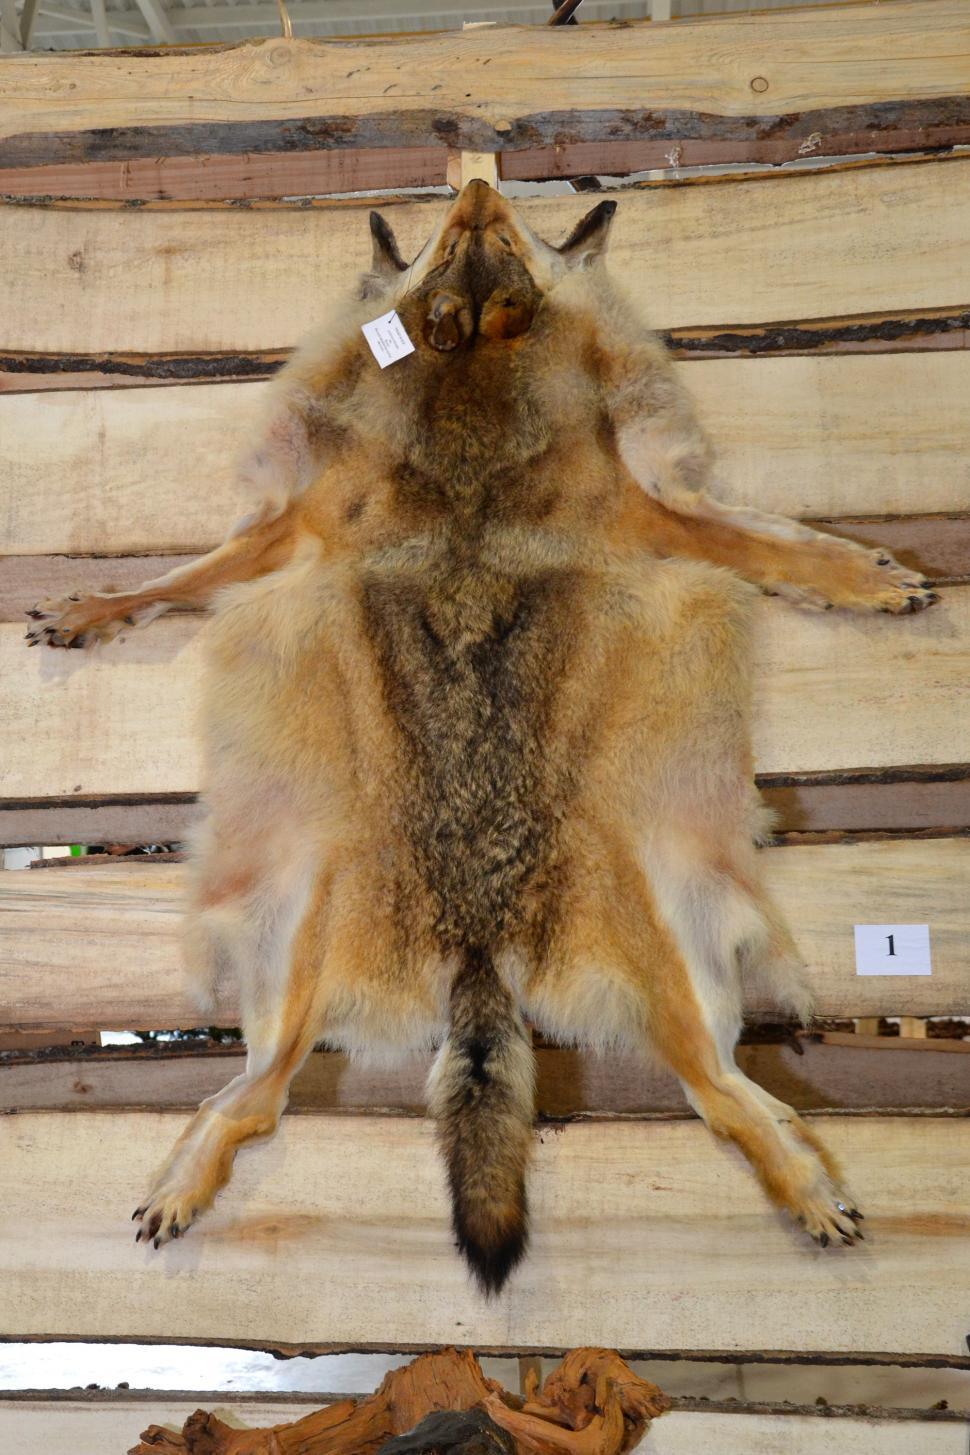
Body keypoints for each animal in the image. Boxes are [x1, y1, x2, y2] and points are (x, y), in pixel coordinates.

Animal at [27, 182, 935, 1293]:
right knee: (247, 1098)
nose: (476, 184)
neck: (465, 384)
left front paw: (870, 580)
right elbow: (167, 583)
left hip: (668, 960)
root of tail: (477, 942)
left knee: (723, 1090)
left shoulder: (652, 512)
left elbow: (789, 551)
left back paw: (806, 1185)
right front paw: (88, 609)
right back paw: (181, 1178)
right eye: (455, 239)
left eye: (502, 237)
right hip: (296, 968)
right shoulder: (292, 528)